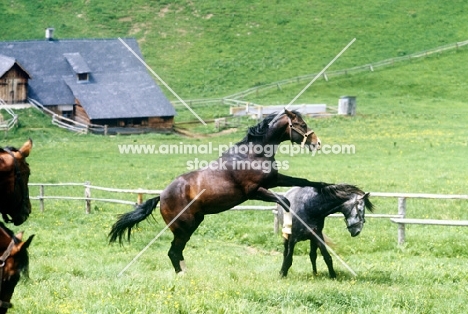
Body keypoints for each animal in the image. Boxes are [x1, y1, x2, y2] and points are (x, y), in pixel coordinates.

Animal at [109, 110, 330, 272]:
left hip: (193, 224)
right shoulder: (255, 191)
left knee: (177, 253)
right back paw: (184, 276)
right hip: (183, 227)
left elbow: (303, 181)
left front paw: (325, 186)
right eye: (301, 125)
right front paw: (287, 230)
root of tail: (161, 196)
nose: (317, 143)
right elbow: (284, 201)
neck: (252, 154)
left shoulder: (274, 180)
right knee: (173, 252)